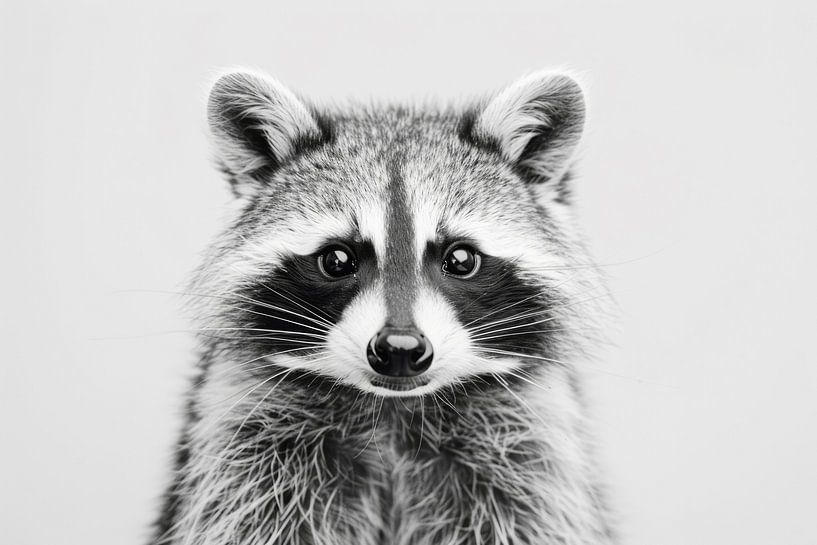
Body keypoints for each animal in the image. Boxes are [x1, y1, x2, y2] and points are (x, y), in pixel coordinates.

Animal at [153, 69, 615, 545]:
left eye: (461, 259)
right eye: (337, 260)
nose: (400, 349)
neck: (391, 410)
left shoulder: (529, 444)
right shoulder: (245, 437)